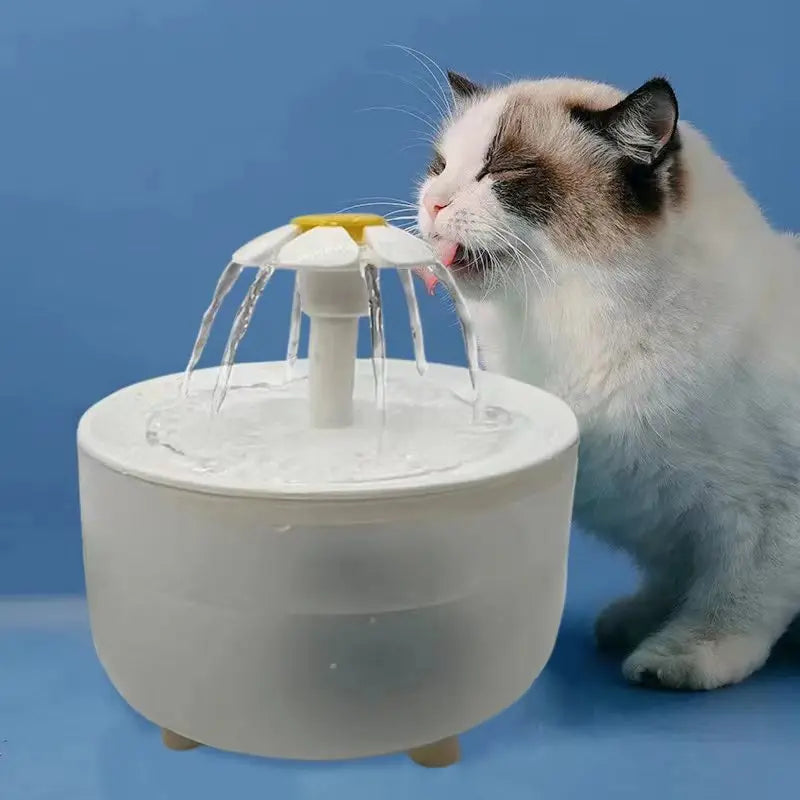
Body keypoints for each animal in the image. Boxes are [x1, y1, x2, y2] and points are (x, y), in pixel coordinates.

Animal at [416, 72, 800, 692]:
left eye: (503, 171)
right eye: (439, 166)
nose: (432, 202)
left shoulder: (765, 516)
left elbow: (730, 602)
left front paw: (679, 656)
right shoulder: (664, 512)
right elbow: (673, 577)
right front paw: (639, 621)